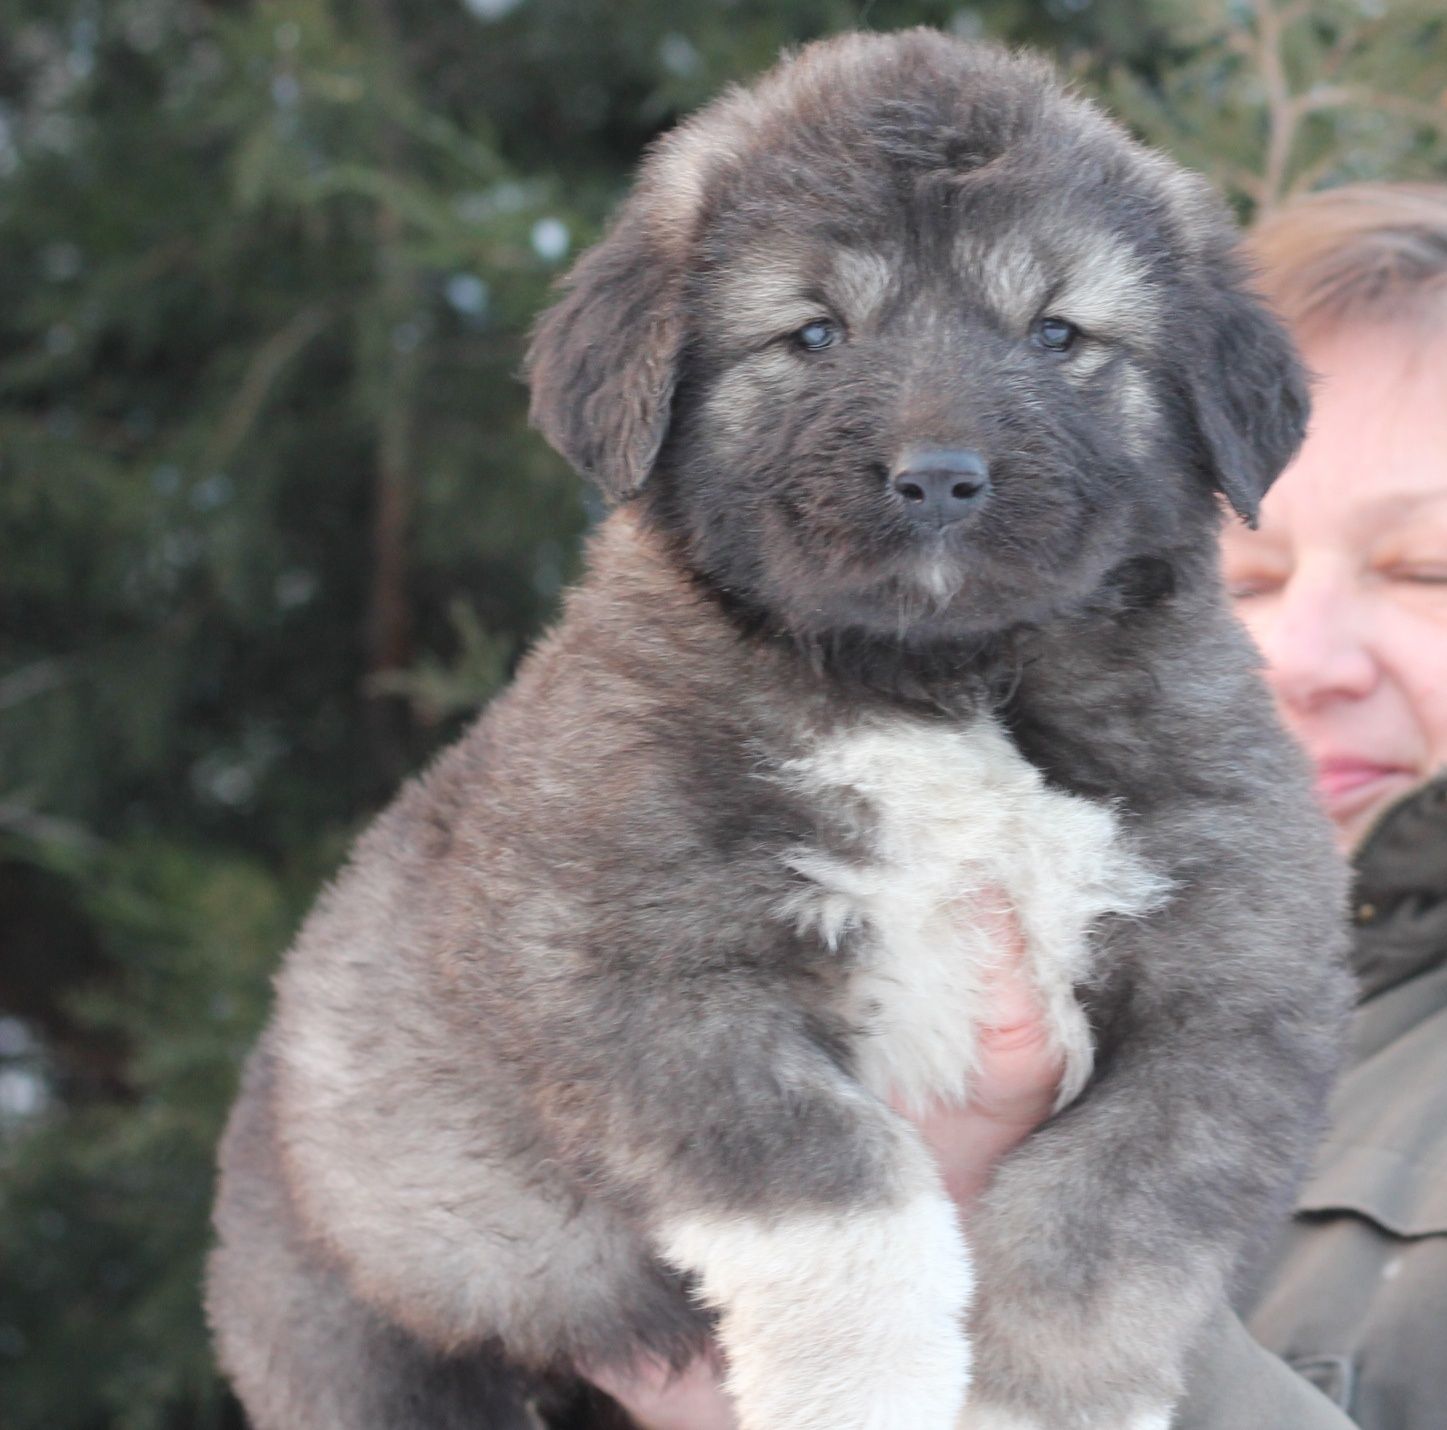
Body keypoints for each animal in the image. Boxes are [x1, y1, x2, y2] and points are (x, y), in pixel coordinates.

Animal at [206, 30, 1354, 1430]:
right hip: (360, 1319)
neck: (942, 683)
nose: (938, 475)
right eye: (812, 330)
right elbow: (839, 1193)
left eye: (1056, 330)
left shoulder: (1232, 1001)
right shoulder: (650, 972)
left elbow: (1102, 1234)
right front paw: (866, 1387)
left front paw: (1036, 1393)